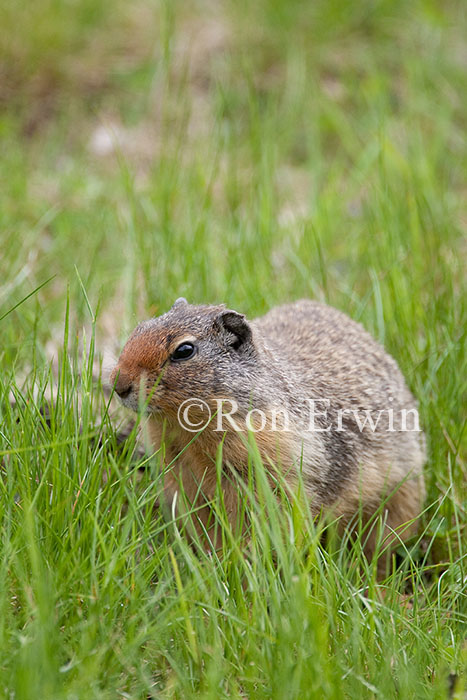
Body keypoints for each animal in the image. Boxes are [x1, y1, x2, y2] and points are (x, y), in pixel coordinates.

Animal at [110, 298, 426, 566]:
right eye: (140, 327)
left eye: (184, 351)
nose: (118, 384)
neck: (188, 433)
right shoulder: (180, 476)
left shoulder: (274, 471)